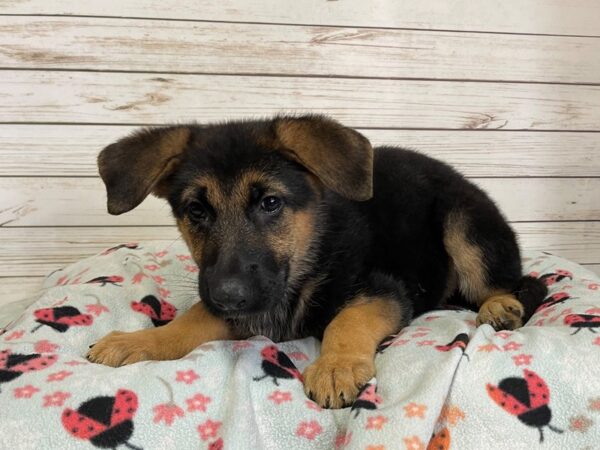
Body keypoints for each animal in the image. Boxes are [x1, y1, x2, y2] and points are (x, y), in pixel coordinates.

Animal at [90, 115, 548, 408]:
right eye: (196, 211)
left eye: (270, 203)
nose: (228, 296)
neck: (306, 255)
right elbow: (190, 321)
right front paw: (138, 341)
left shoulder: (384, 291)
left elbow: (347, 321)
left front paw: (335, 365)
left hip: (462, 222)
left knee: (512, 282)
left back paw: (500, 305)